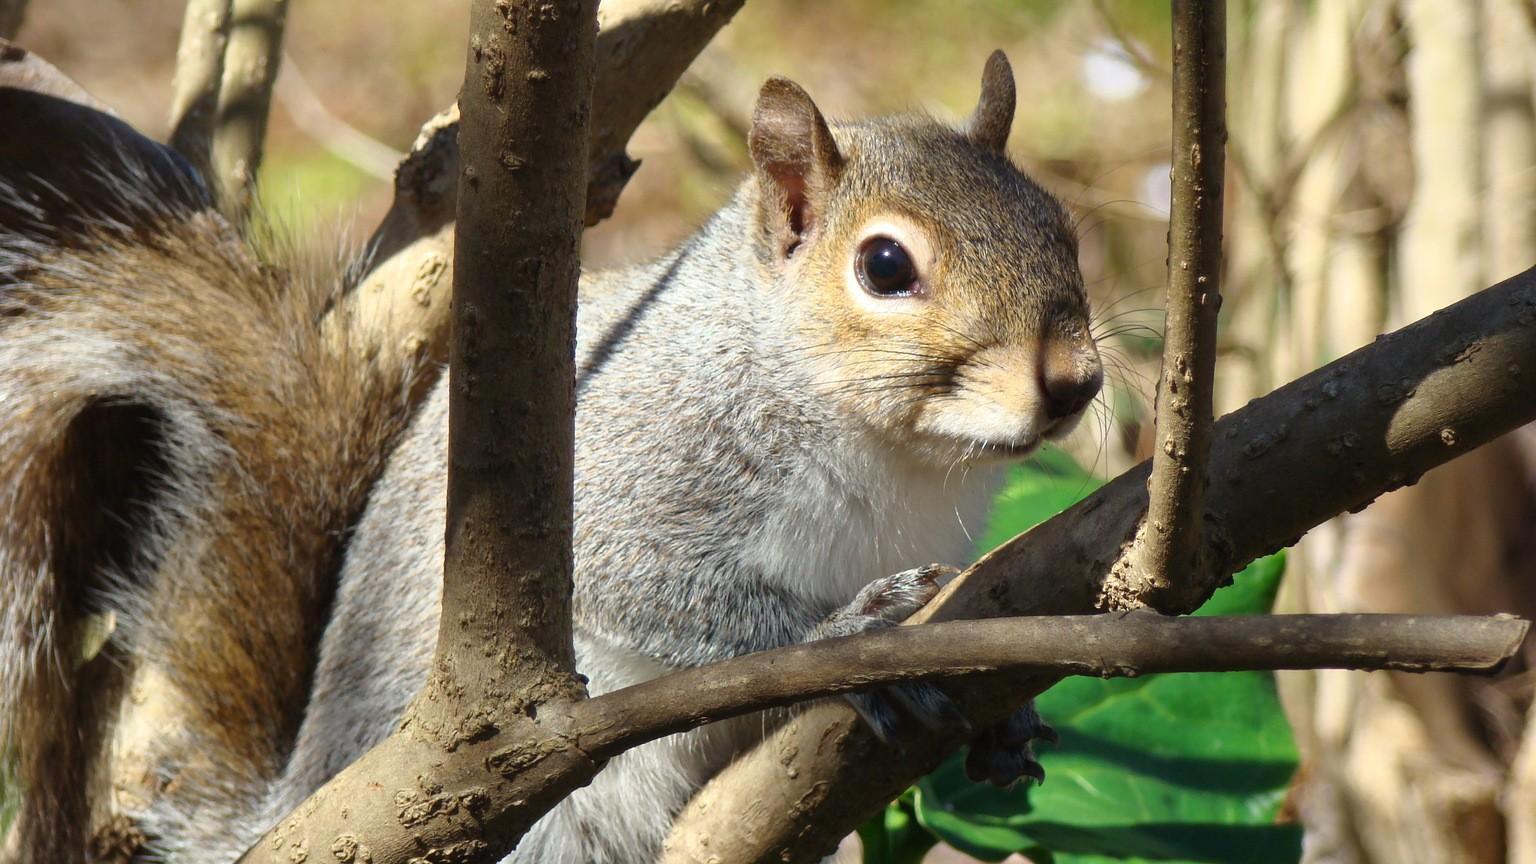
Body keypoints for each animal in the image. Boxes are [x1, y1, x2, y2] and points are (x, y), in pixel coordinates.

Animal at [0, 48, 1105, 860]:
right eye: (883, 265)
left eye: (1060, 224)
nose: (1077, 382)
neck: (902, 458)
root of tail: (302, 796)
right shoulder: (633, 475)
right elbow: (665, 598)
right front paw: (849, 639)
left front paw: (1002, 724)